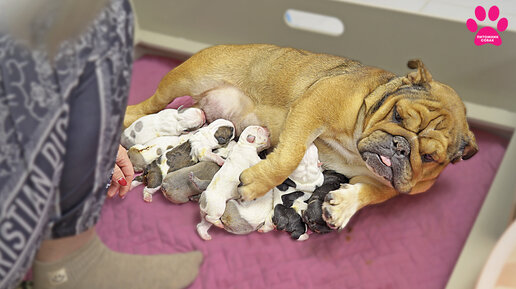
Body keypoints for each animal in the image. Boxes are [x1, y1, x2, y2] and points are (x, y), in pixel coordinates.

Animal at [123, 44, 478, 230]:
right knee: (148, 105)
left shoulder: (391, 185)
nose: (400, 146)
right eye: (398, 116)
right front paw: (258, 181)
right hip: (184, 80)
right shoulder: (313, 106)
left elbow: (371, 193)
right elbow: (291, 153)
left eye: (429, 157)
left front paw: (344, 206)